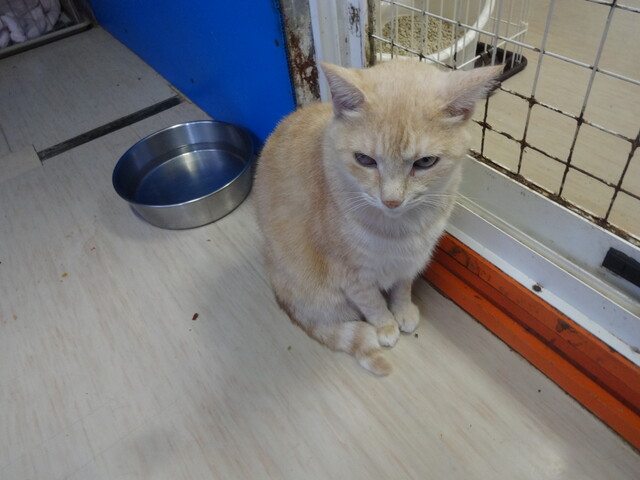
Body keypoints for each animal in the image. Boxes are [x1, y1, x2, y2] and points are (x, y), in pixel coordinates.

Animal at [254, 60, 500, 375]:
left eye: (425, 162)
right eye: (365, 160)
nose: (391, 200)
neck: (401, 228)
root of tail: (279, 294)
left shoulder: (409, 262)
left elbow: (402, 289)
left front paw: (403, 311)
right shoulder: (351, 275)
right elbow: (372, 304)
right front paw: (386, 326)